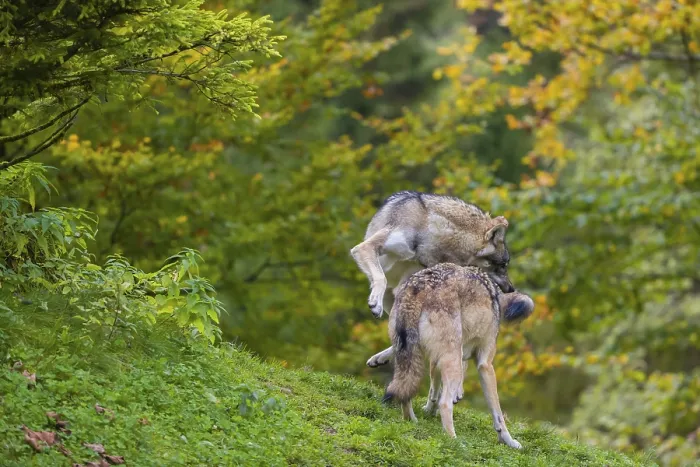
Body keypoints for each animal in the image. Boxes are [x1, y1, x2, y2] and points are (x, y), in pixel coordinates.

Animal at [350, 191, 515, 368]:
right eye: (503, 265)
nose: (511, 288)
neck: (428, 228)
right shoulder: (364, 248)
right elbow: (381, 278)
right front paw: (375, 303)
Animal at [383, 263, 533, 447]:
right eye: (505, 268)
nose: (511, 288)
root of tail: (418, 288)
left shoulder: (437, 360)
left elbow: (433, 390)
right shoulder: (485, 364)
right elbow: (497, 412)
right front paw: (508, 440)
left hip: (409, 356)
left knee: (405, 391)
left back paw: (411, 421)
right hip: (453, 361)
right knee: (445, 403)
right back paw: (455, 442)